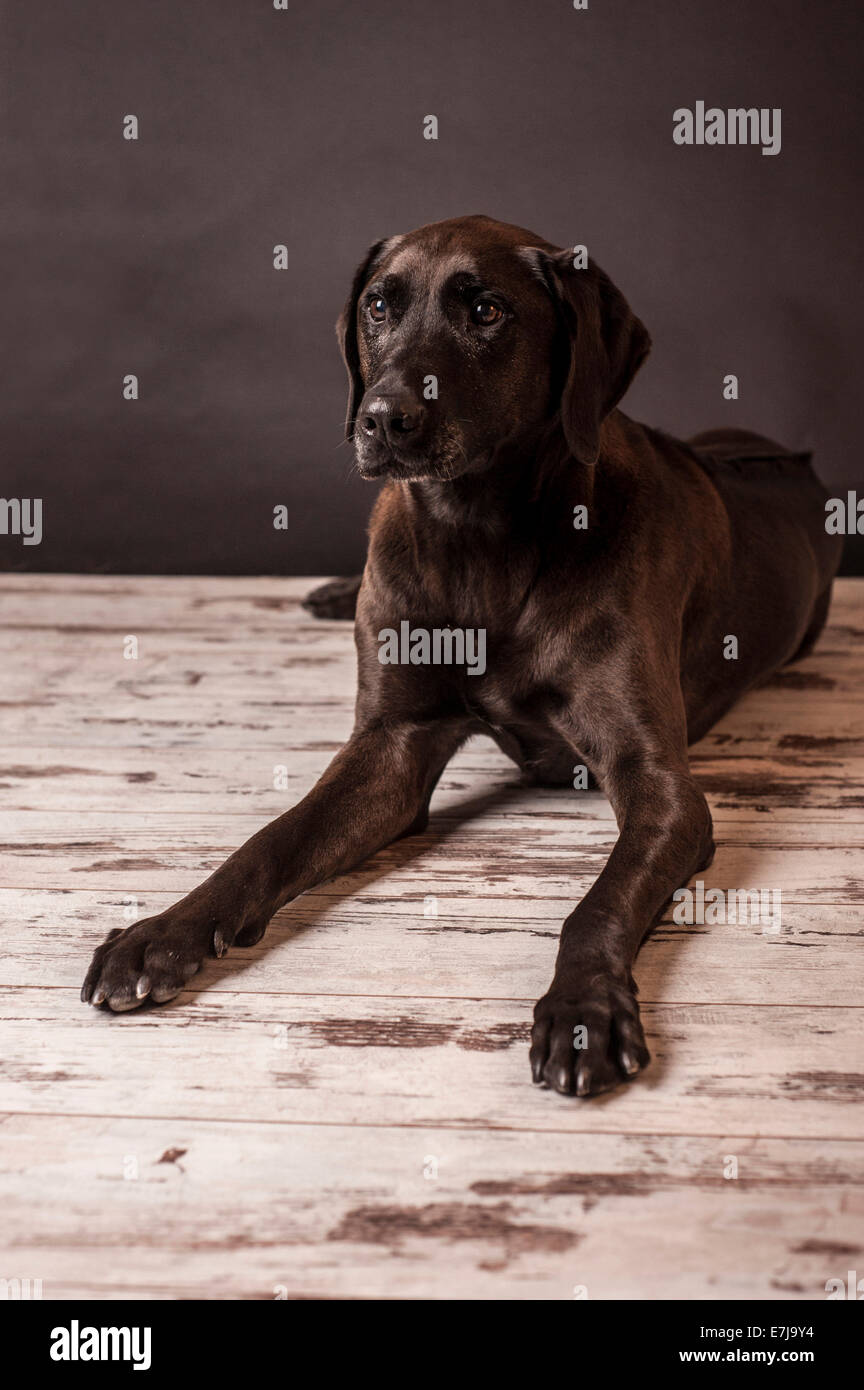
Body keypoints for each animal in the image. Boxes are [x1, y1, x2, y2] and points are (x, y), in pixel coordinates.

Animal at [84, 214, 844, 1095]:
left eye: (486, 311)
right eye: (379, 306)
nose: (383, 418)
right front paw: (161, 931)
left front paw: (582, 1009)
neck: (479, 538)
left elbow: (598, 903)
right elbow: (270, 840)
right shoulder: (391, 746)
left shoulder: (661, 785)